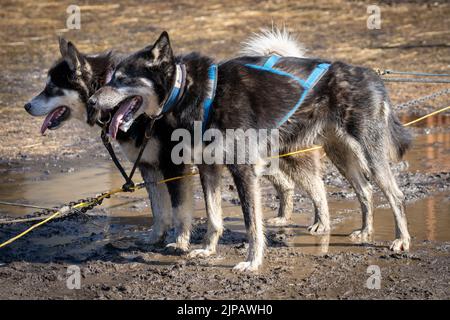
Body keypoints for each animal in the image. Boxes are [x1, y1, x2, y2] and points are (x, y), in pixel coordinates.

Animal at [89, 30, 414, 272]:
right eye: (109, 78)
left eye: (122, 79)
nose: (92, 101)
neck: (202, 92)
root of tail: (372, 75)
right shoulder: (209, 168)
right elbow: (214, 217)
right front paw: (207, 249)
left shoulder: (242, 170)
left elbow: (251, 223)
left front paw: (252, 261)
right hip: (341, 155)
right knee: (365, 190)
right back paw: (366, 230)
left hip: (371, 153)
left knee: (394, 194)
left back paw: (401, 240)